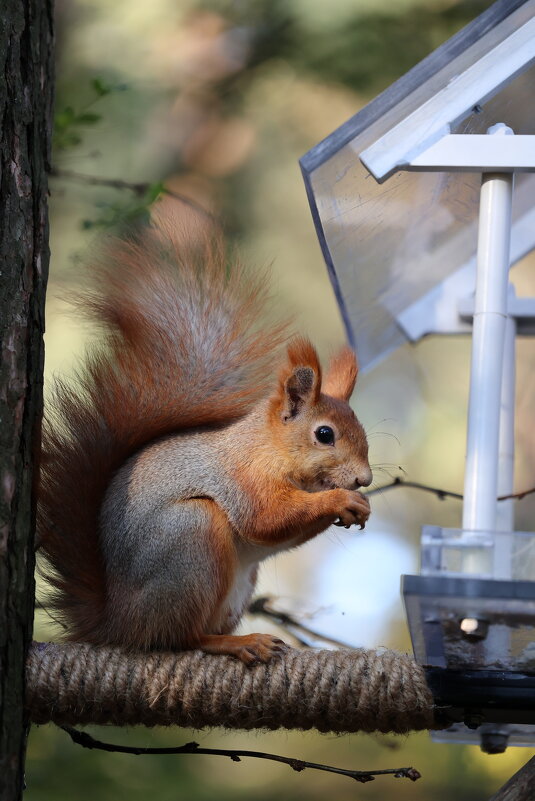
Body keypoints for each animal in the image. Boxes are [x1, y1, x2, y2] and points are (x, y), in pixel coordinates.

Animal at [39, 211, 372, 664]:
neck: (270, 448)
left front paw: (356, 506)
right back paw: (238, 643)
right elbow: (266, 519)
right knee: (177, 638)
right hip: (191, 538)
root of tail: (117, 624)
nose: (365, 479)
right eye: (324, 434)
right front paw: (341, 500)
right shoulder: (243, 477)